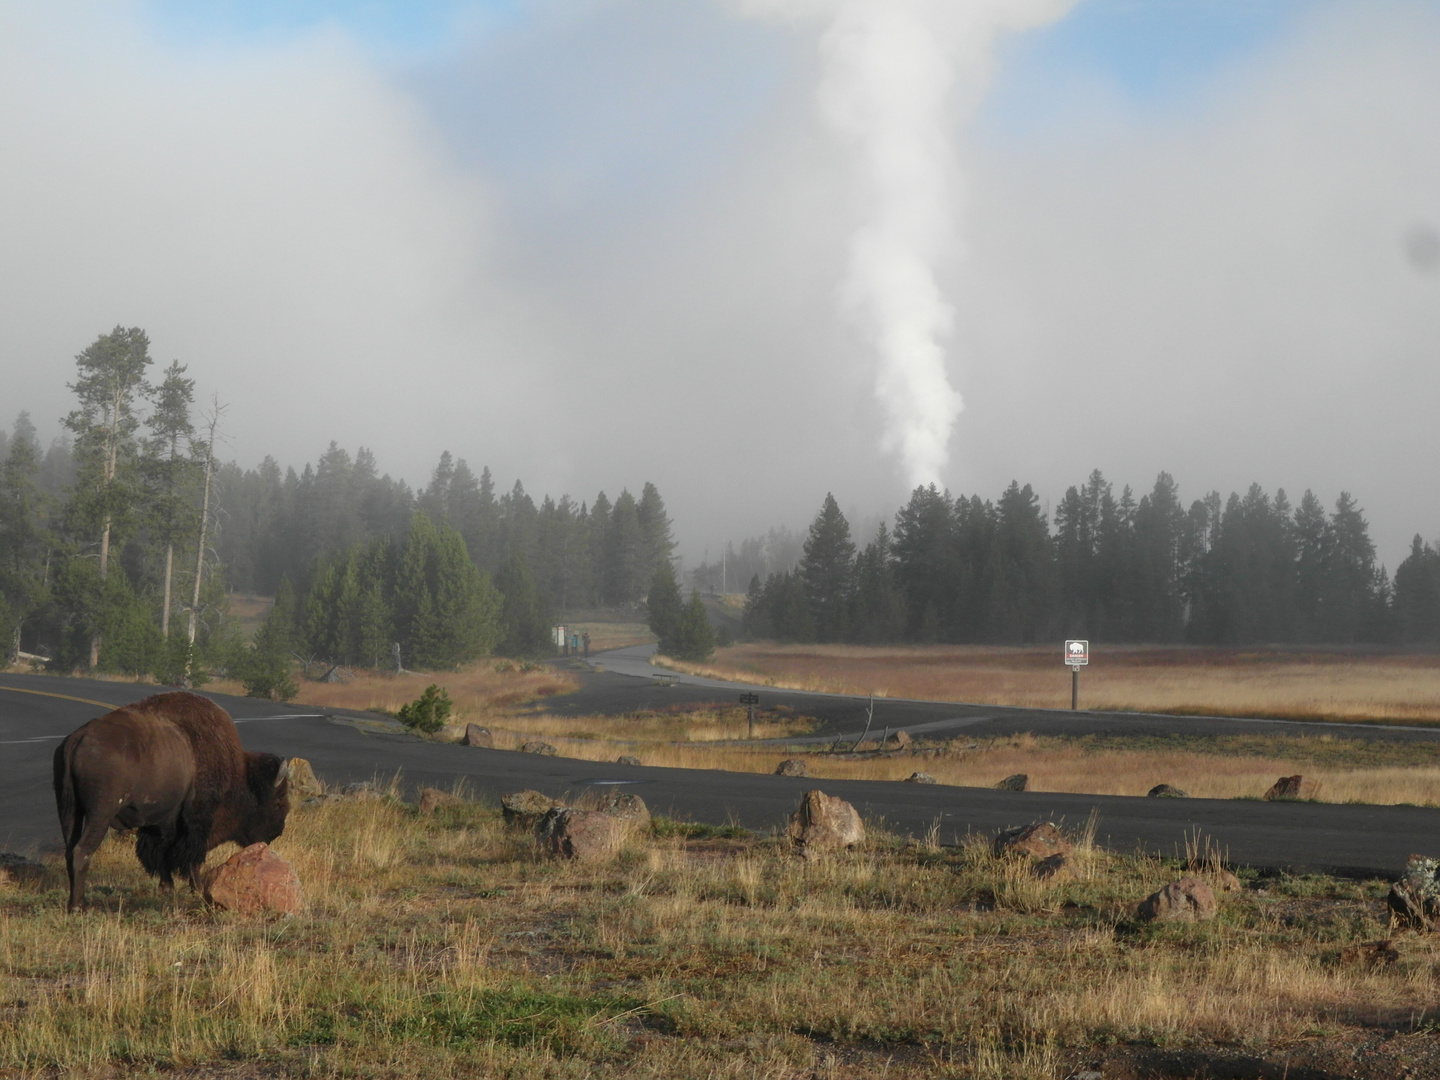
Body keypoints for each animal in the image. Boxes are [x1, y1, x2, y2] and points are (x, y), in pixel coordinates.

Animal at [52, 694, 290, 915]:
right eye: (278, 801)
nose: (276, 833)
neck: (239, 775)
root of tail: (79, 738)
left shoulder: (160, 820)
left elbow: (160, 850)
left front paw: (167, 887)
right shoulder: (196, 822)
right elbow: (191, 855)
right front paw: (196, 888)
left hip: (69, 809)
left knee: (70, 849)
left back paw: (75, 903)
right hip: (100, 814)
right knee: (82, 850)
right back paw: (78, 907)